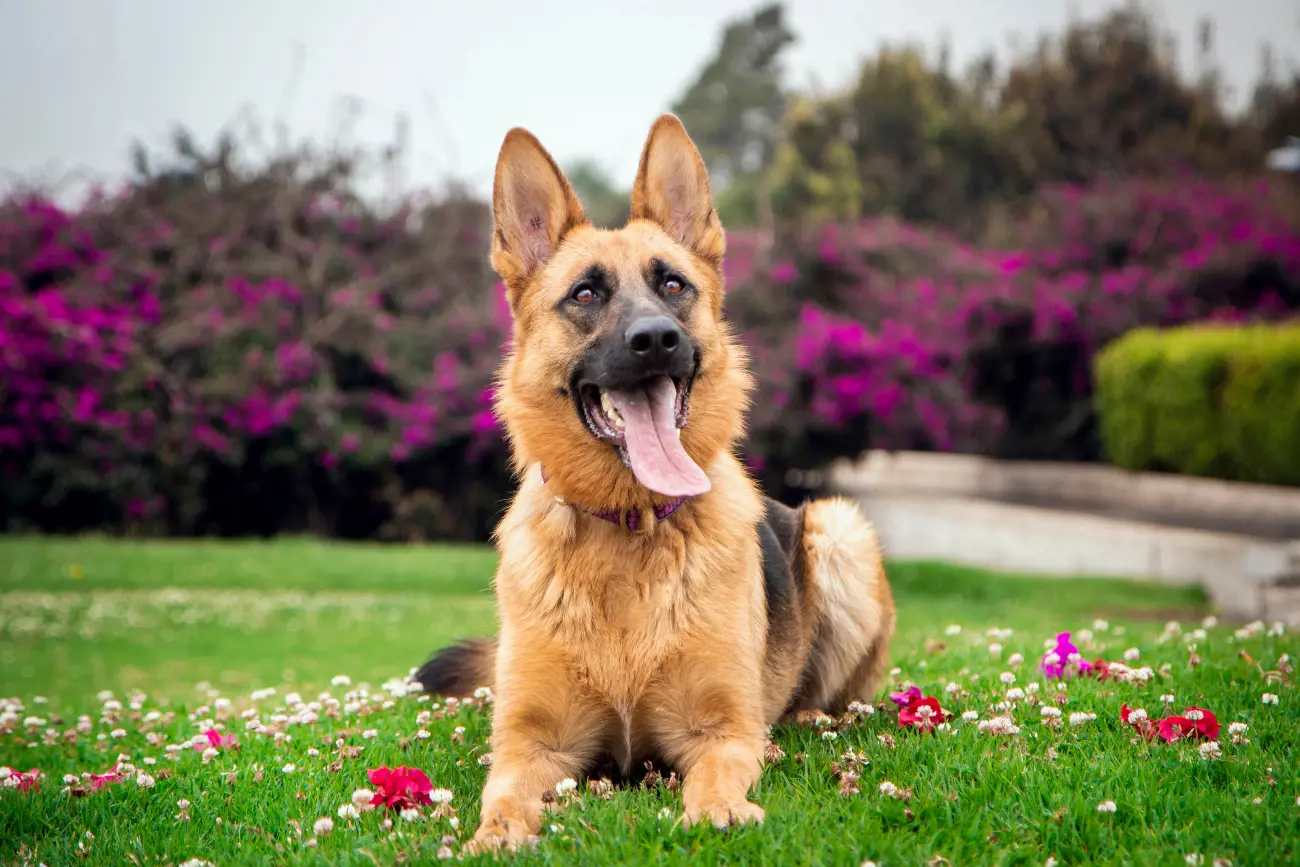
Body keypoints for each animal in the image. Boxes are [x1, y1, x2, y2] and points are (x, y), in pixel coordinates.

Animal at [416, 111, 894, 852]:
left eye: (673, 286)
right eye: (585, 293)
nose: (656, 339)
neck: (628, 527)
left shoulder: (721, 733)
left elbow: (717, 775)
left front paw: (719, 808)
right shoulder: (531, 746)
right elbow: (502, 796)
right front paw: (494, 835)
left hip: (839, 530)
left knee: (833, 696)